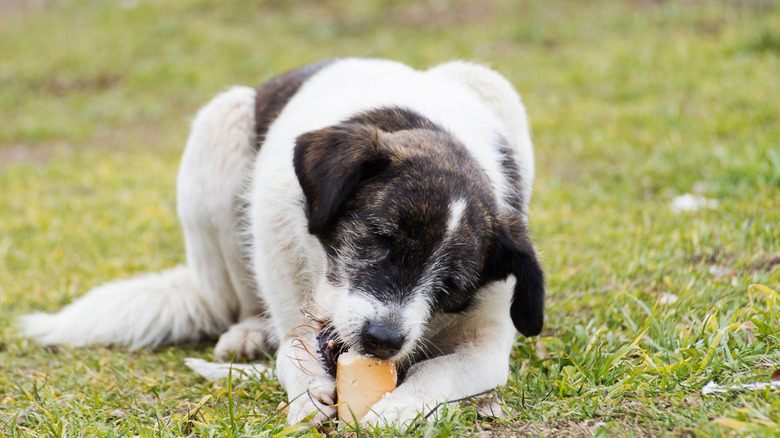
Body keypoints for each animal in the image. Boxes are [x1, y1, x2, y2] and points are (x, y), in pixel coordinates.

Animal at [18, 58, 544, 428]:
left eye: (452, 284)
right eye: (380, 239)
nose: (382, 340)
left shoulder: (487, 343)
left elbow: (438, 371)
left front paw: (400, 407)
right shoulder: (295, 312)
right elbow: (292, 354)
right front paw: (308, 393)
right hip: (219, 127)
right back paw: (249, 331)